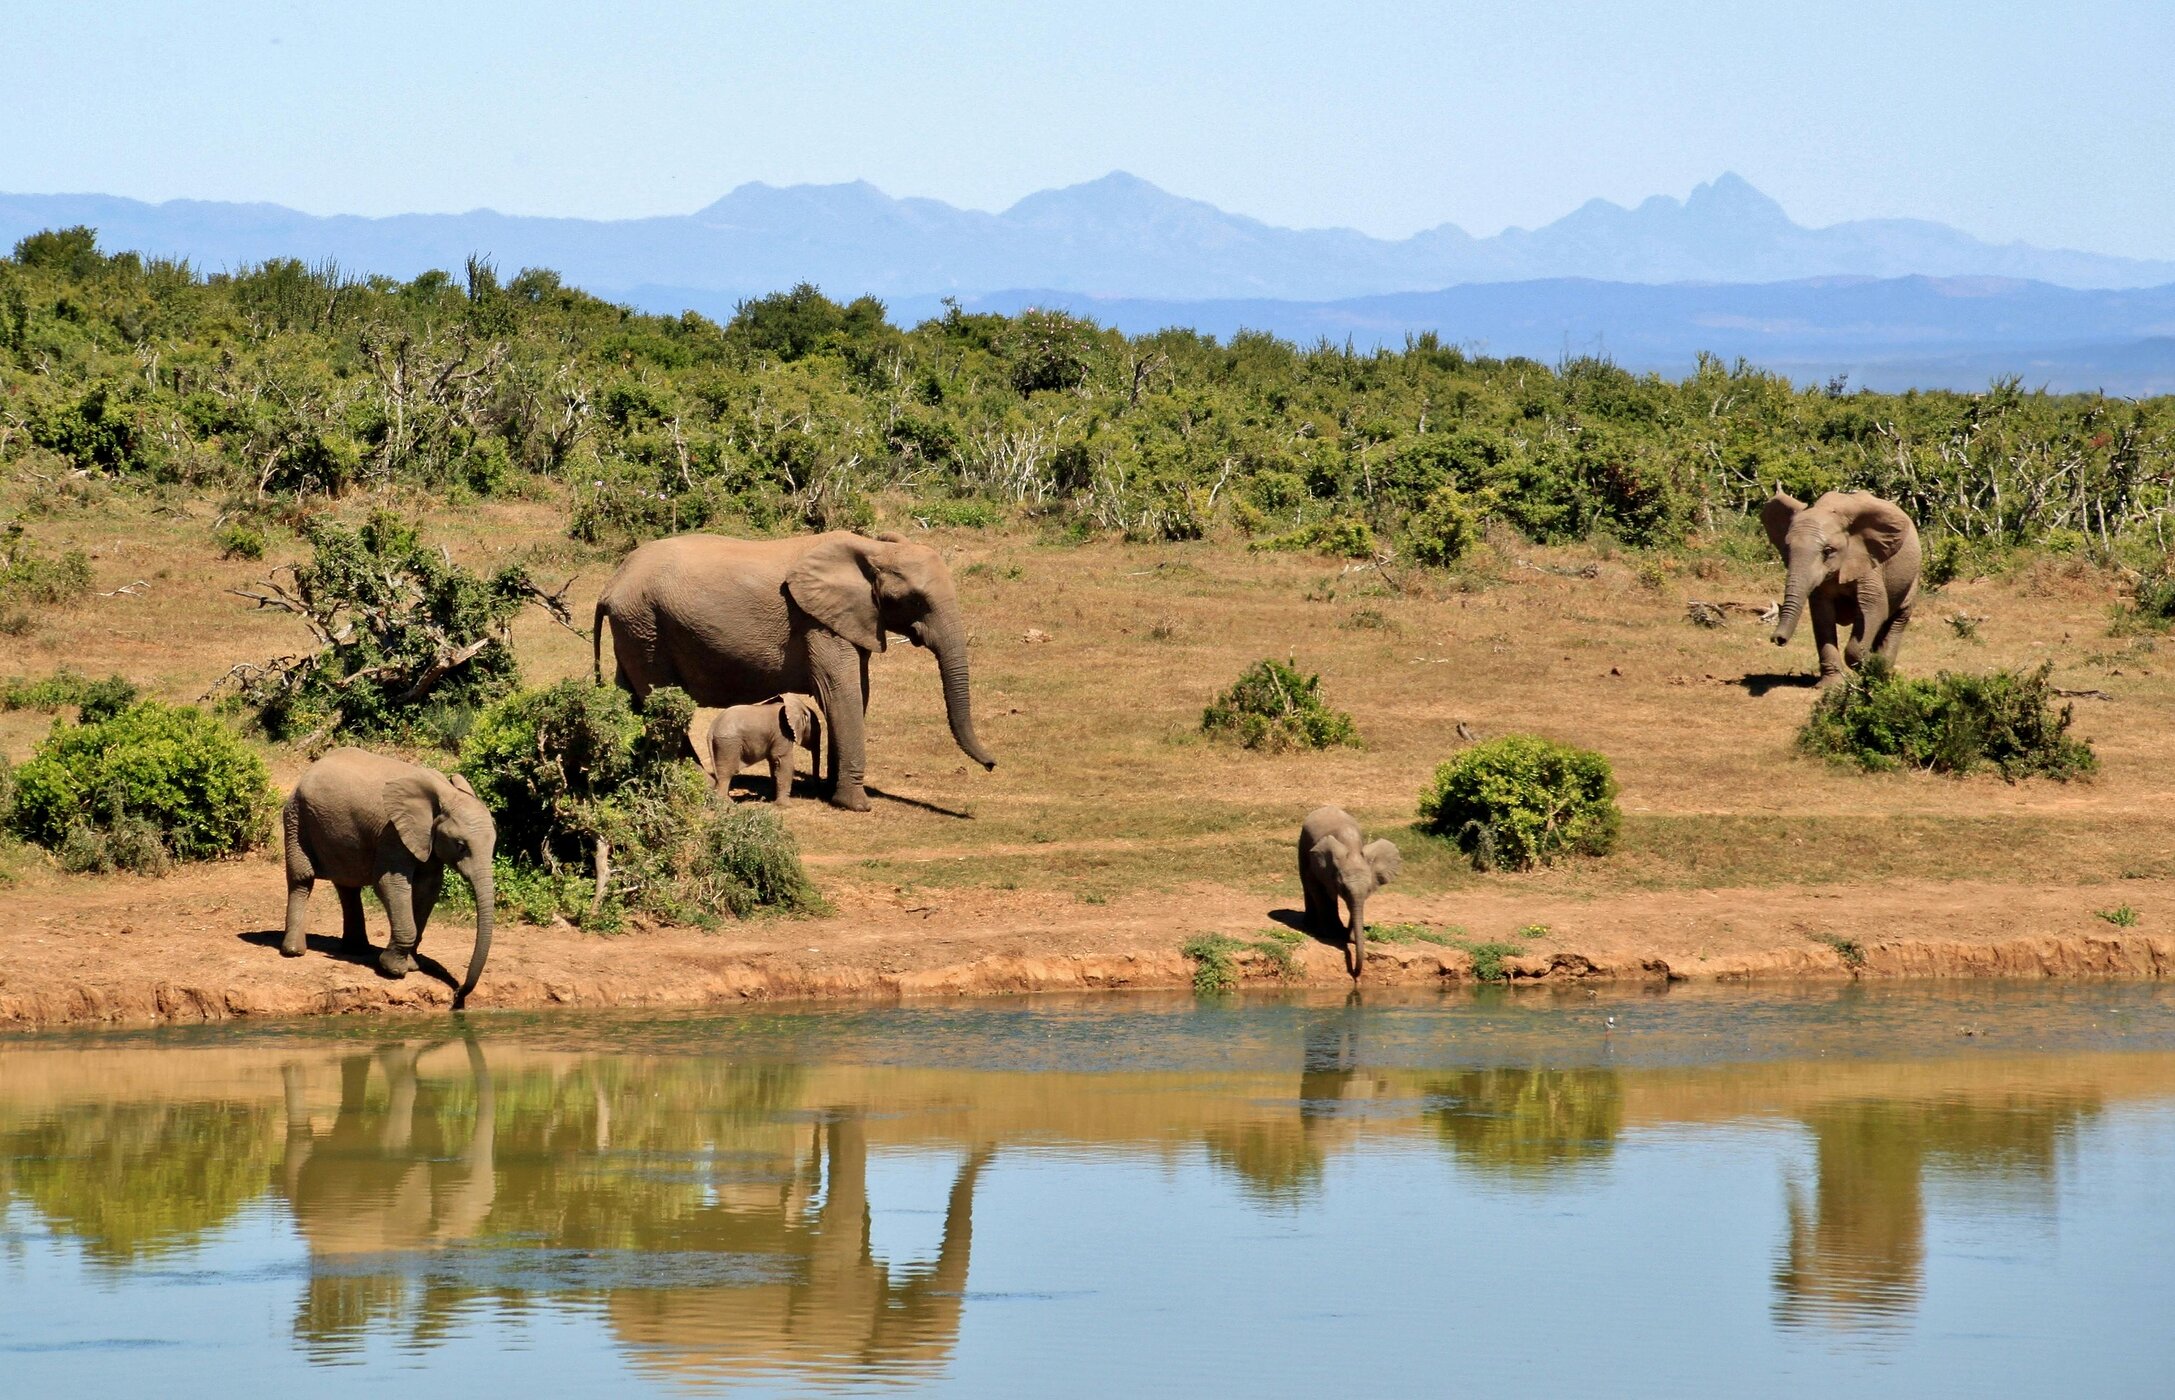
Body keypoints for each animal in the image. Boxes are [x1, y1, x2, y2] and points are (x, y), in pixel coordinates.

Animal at [281, 748, 495, 1004]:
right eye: (461, 846)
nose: (458, 994)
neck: (444, 793)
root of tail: (310, 768)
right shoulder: (392, 832)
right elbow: (390, 884)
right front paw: (393, 969)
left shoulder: (426, 839)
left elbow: (428, 889)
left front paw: (411, 966)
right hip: (296, 817)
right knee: (302, 879)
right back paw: (294, 952)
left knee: (347, 885)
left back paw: (357, 950)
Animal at [594, 530, 996, 812]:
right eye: (915, 600)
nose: (992, 765)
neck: (871, 549)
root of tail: (611, 583)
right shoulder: (816, 622)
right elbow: (841, 692)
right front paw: (856, 805)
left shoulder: (851, 619)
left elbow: (857, 693)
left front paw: (832, 791)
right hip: (646, 624)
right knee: (662, 701)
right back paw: (698, 783)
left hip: (634, 629)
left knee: (631, 697)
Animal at [1298, 806, 1402, 978]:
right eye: (1343, 889)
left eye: (1369, 890)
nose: (1355, 973)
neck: (1352, 850)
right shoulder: (1318, 866)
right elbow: (1316, 887)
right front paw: (1330, 934)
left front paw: (1350, 938)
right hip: (1302, 843)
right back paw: (1310, 925)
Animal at [1763, 489, 1922, 687]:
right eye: (1787, 548)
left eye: (1828, 551)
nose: (1778, 639)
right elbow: (1822, 616)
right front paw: (1831, 686)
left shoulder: (1868, 560)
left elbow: (1875, 607)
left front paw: (1872, 661)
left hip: (1913, 575)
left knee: (1899, 617)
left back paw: (1882, 672)